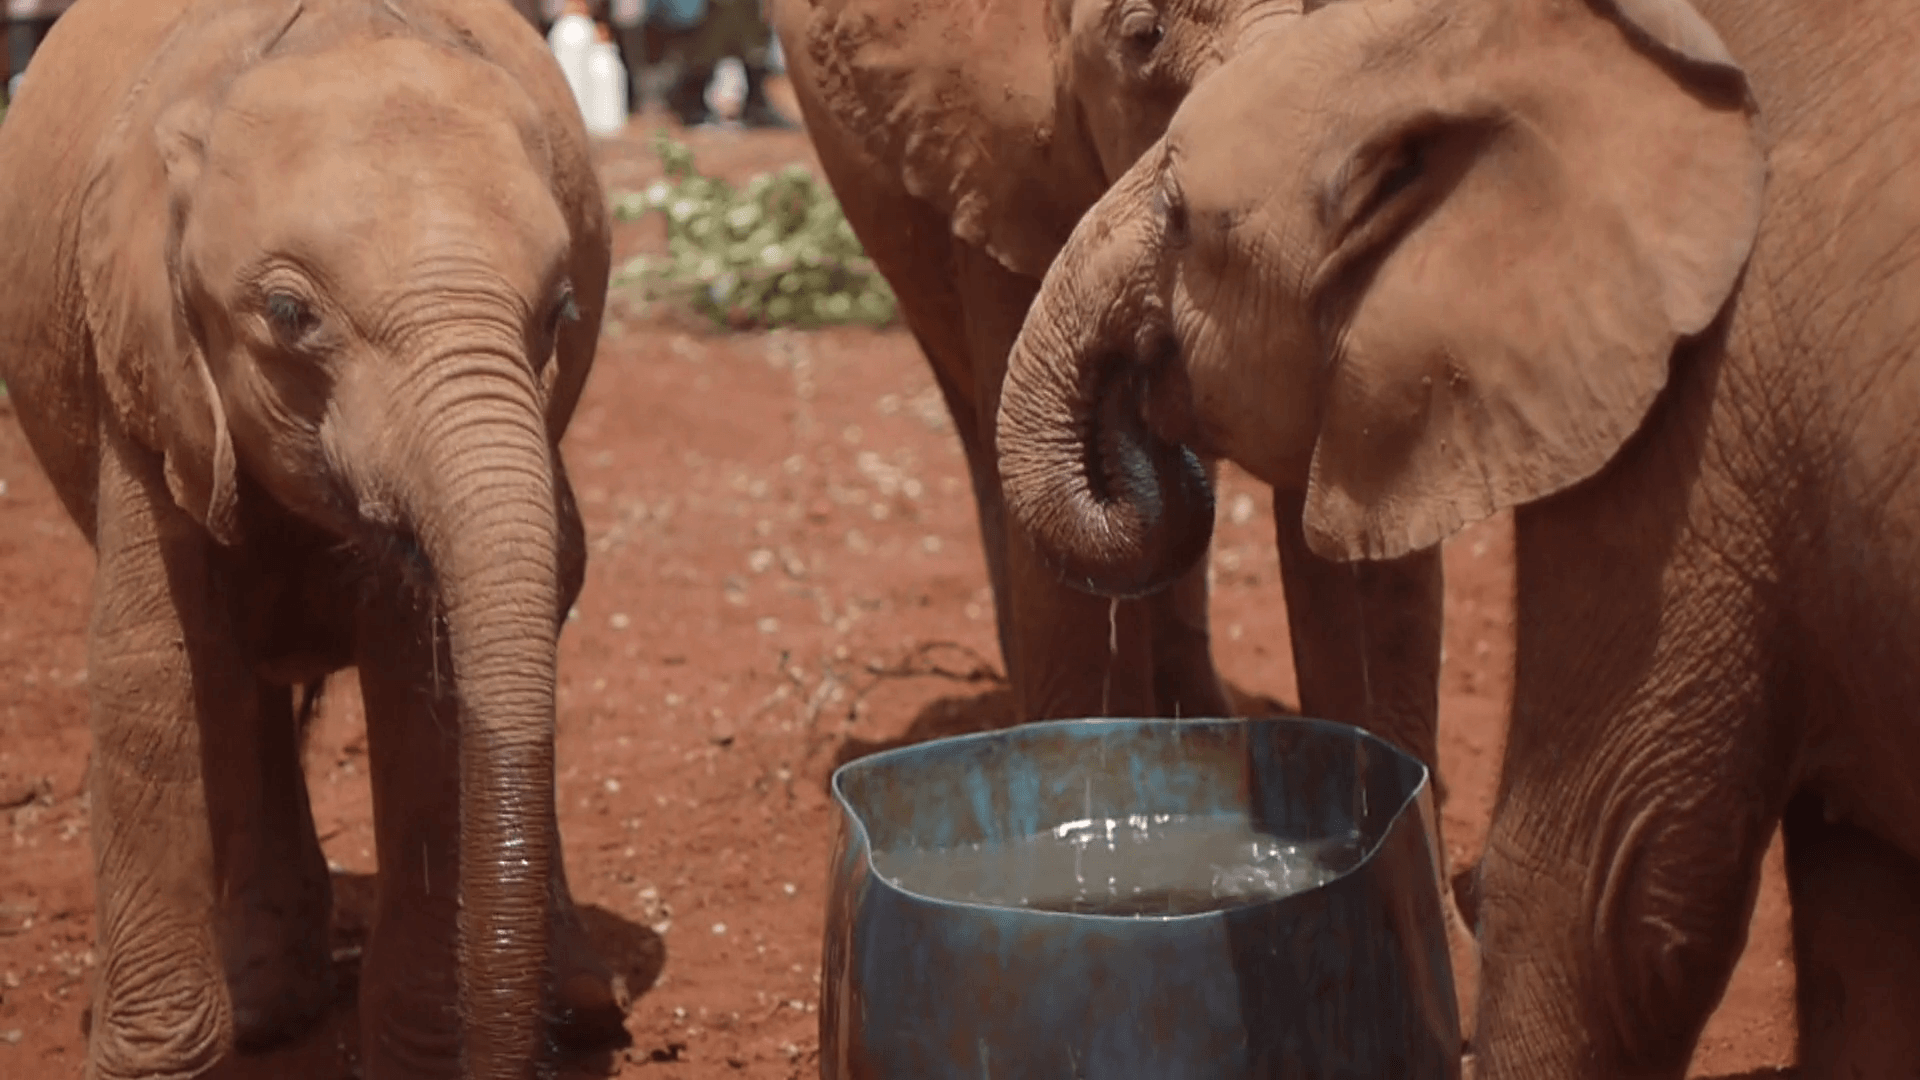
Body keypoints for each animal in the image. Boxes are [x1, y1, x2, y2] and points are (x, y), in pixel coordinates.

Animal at [0, 2, 622, 1076]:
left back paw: (578, 1006)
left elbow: (426, 685)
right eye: (289, 314)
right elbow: (153, 669)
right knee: (234, 678)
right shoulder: (140, 363)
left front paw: (425, 1048)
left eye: (562, 311)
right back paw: (267, 1005)